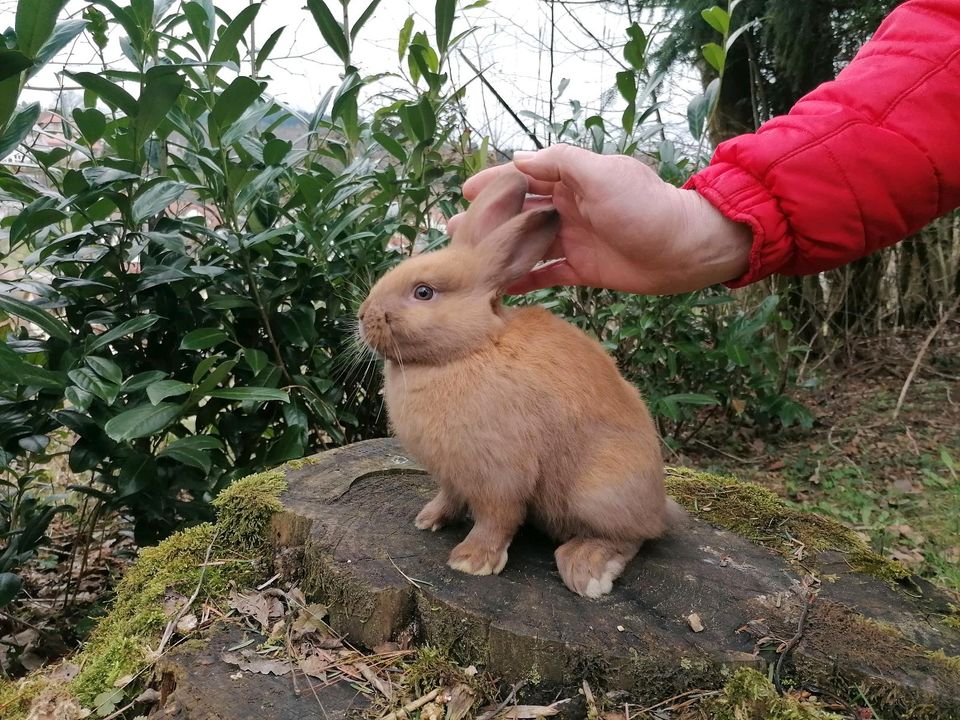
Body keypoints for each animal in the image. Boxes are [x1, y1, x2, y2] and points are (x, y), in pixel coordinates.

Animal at [356, 170, 672, 596]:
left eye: (424, 292)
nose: (363, 315)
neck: (469, 349)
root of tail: (660, 505)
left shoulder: (499, 474)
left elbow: (497, 518)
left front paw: (471, 561)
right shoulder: (452, 474)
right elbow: (449, 497)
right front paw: (428, 519)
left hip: (598, 491)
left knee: (630, 536)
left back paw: (587, 569)